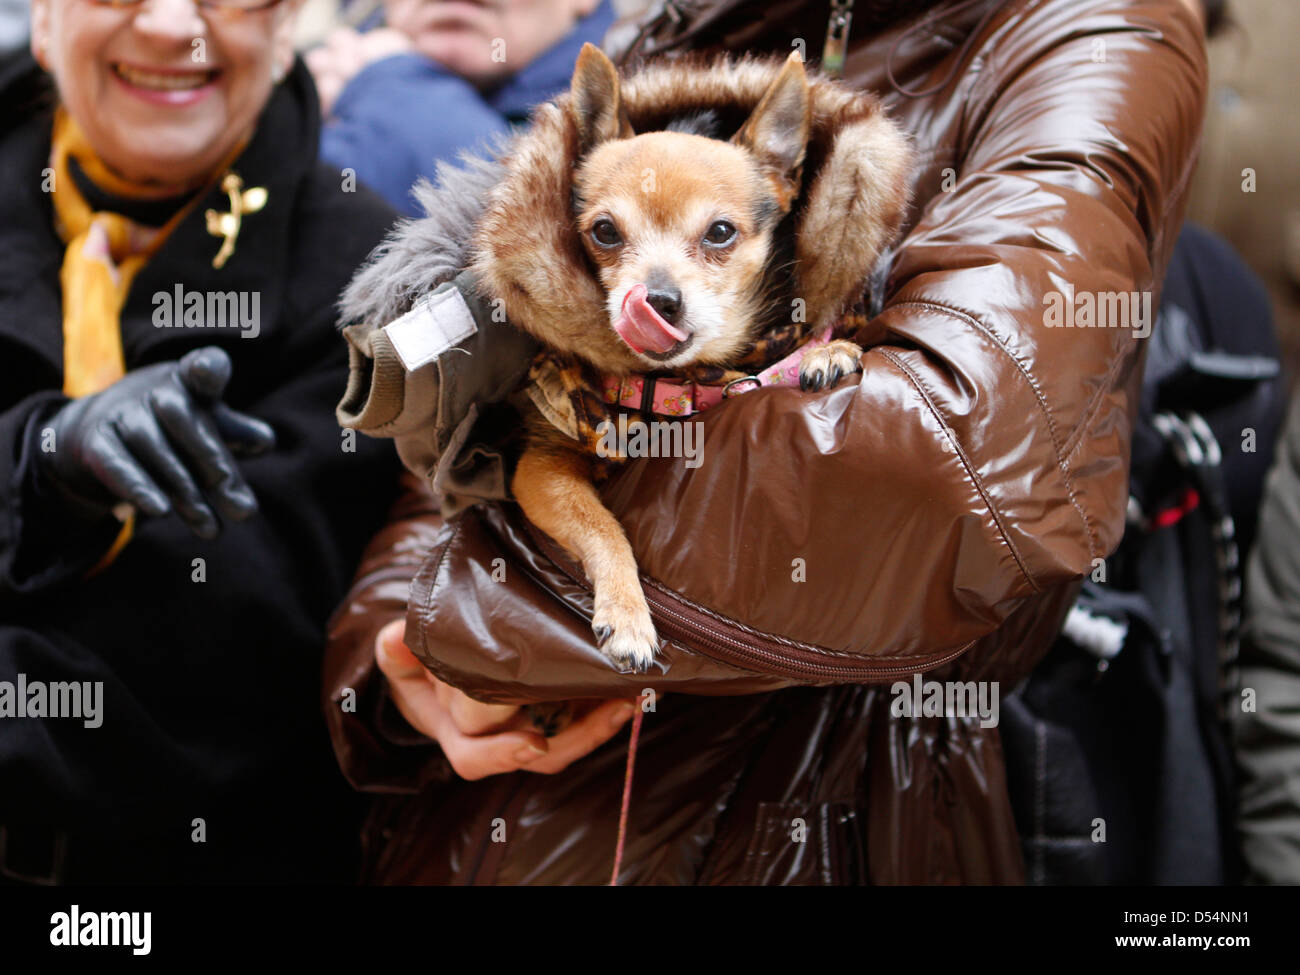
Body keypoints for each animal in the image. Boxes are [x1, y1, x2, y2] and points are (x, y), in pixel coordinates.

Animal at [512, 45, 868, 670]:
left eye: (720, 232)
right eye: (604, 232)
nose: (656, 299)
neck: (681, 382)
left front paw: (827, 351)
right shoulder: (540, 468)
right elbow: (601, 525)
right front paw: (628, 611)